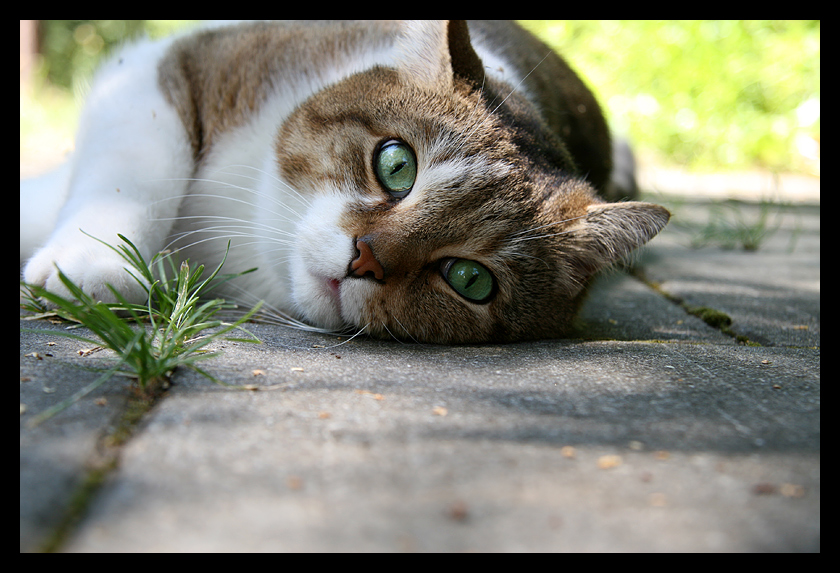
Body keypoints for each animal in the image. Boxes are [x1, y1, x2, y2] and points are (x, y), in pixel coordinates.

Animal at [21, 21, 668, 344]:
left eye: (470, 279)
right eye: (396, 165)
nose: (366, 259)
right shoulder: (176, 65)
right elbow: (137, 164)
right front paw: (94, 264)